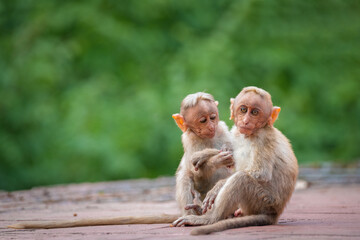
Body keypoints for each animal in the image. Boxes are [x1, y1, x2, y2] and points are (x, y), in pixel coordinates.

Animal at [8, 92, 235, 229]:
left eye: (213, 117)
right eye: (202, 120)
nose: (210, 126)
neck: (207, 137)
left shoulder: (222, 128)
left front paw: (223, 155)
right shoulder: (189, 140)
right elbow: (195, 171)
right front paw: (214, 158)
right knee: (185, 177)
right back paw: (196, 210)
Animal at [172, 86, 298, 234]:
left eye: (255, 112)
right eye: (243, 110)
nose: (245, 121)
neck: (252, 134)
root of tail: (275, 213)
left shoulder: (264, 138)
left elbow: (260, 172)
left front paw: (218, 185)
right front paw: (210, 155)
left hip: (263, 201)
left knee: (241, 178)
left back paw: (210, 218)